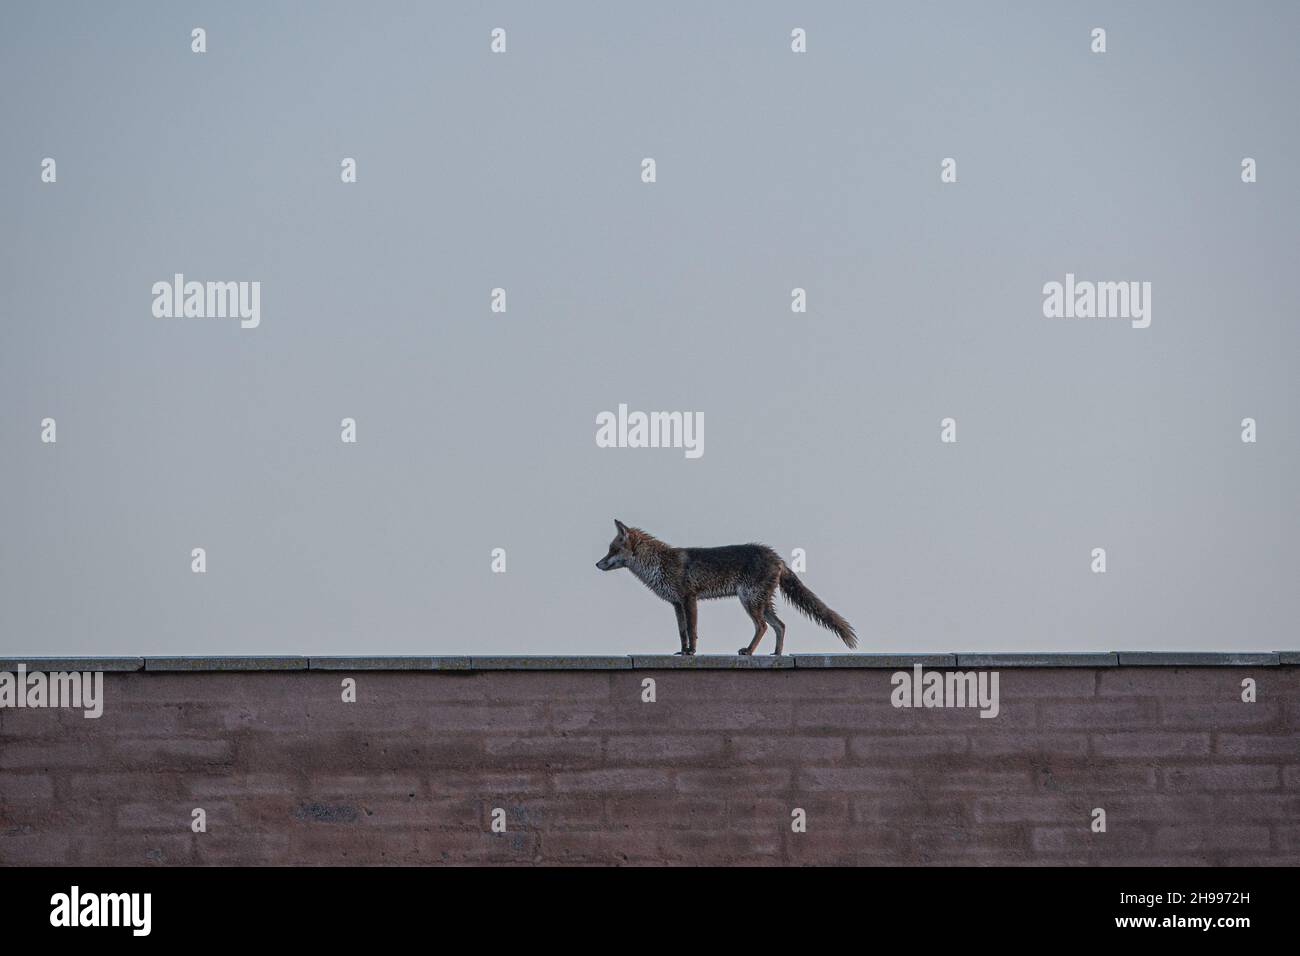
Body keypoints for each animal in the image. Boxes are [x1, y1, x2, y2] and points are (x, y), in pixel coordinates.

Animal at [595, 519, 858, 656]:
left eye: (612, 550)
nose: (597, 564)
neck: (659, 564)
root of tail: (777, 557)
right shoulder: (676, 604)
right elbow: (682, 632)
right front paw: (682, 651)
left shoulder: (689, 598)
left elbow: (692, 630)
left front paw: (692, 652)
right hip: (761, 602)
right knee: (780, 626)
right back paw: (776, 654)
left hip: (749, 600)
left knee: (763, 626)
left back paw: (749, 651)